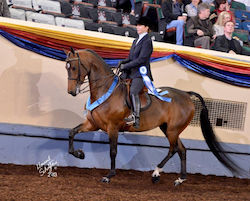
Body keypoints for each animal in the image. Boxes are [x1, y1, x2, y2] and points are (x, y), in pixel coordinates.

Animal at [64, 47, 242, 185]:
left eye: (73, 68)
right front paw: (79, 154)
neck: (105, 90)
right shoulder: (93, 124)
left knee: (173, 149)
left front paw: (109, 176)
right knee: (182, 149)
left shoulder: (112, 128)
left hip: (172, 130)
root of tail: (186, 94)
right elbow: (72, 132)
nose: (71, 92)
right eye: (66, 68)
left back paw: (156, 173)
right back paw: (180, 179)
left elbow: (113, 151)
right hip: (169, 129)